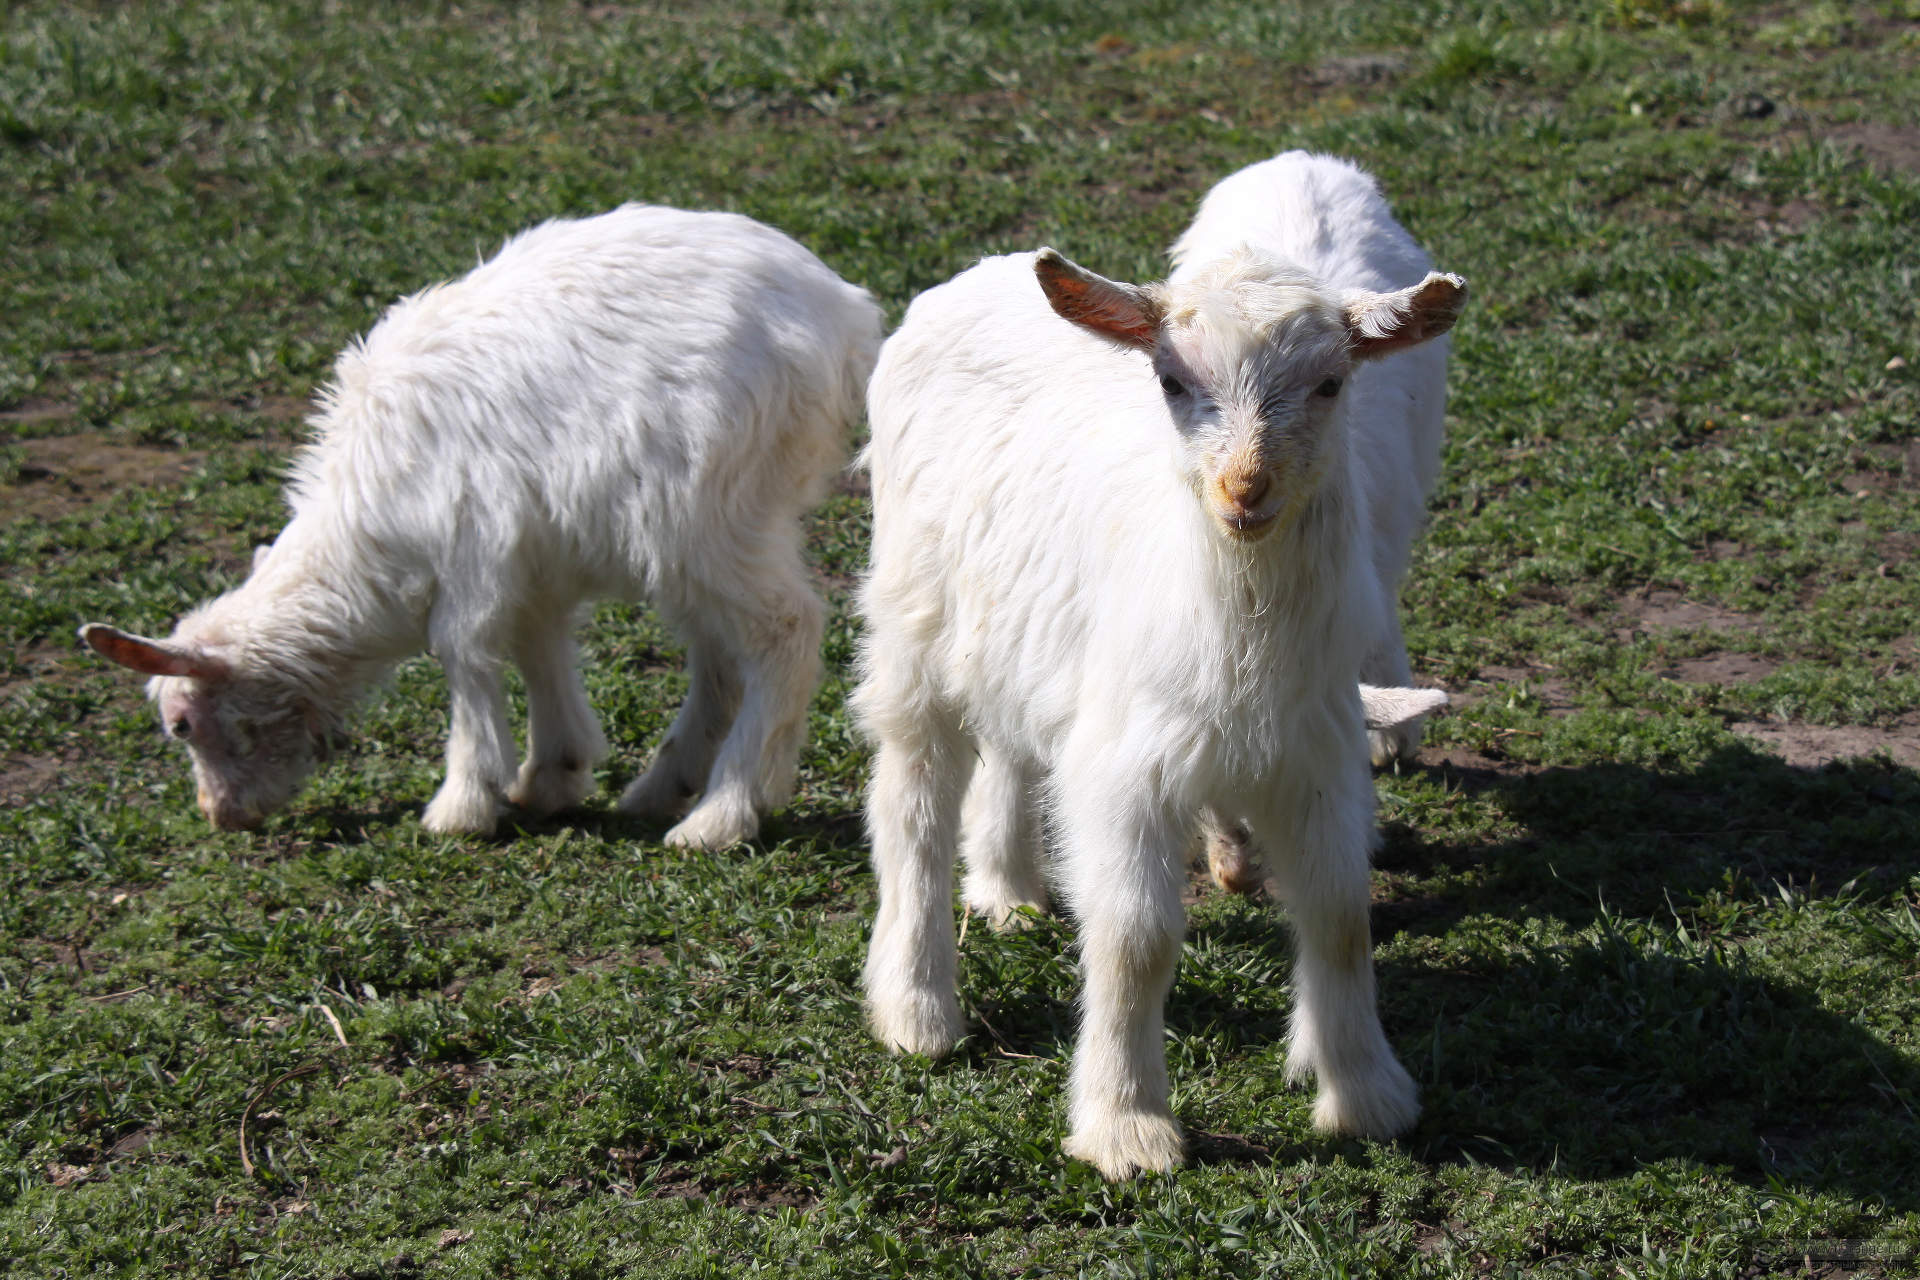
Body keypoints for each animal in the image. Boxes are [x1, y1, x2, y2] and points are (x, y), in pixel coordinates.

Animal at [78, 205, 879, 852]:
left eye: (182, 724)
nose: (219, 816)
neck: (358, 540)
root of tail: (844, 313)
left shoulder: (471, 542)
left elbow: (463, 654)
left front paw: (460, 805)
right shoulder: (534, 557)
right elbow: (536, 646)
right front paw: (551, 774)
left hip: (704, 510)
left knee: (784, 628)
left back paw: (723, 815)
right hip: (711, 527)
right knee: (719, 653)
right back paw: (665, 788)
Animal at [856, 233, 1466, 1182]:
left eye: (1333, 382)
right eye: (1173, 381)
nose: (1245, 490)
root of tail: (978, 273)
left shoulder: (1317, 754)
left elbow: (1339, 916)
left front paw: (1366, 1096)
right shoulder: (1128, 766)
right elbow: (1136, 940)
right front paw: (1127, 1129)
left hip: (1022, 639)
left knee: (1011, 746)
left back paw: (1008, 889)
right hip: (914, 619)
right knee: (911, 796)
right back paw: (917, 1010)